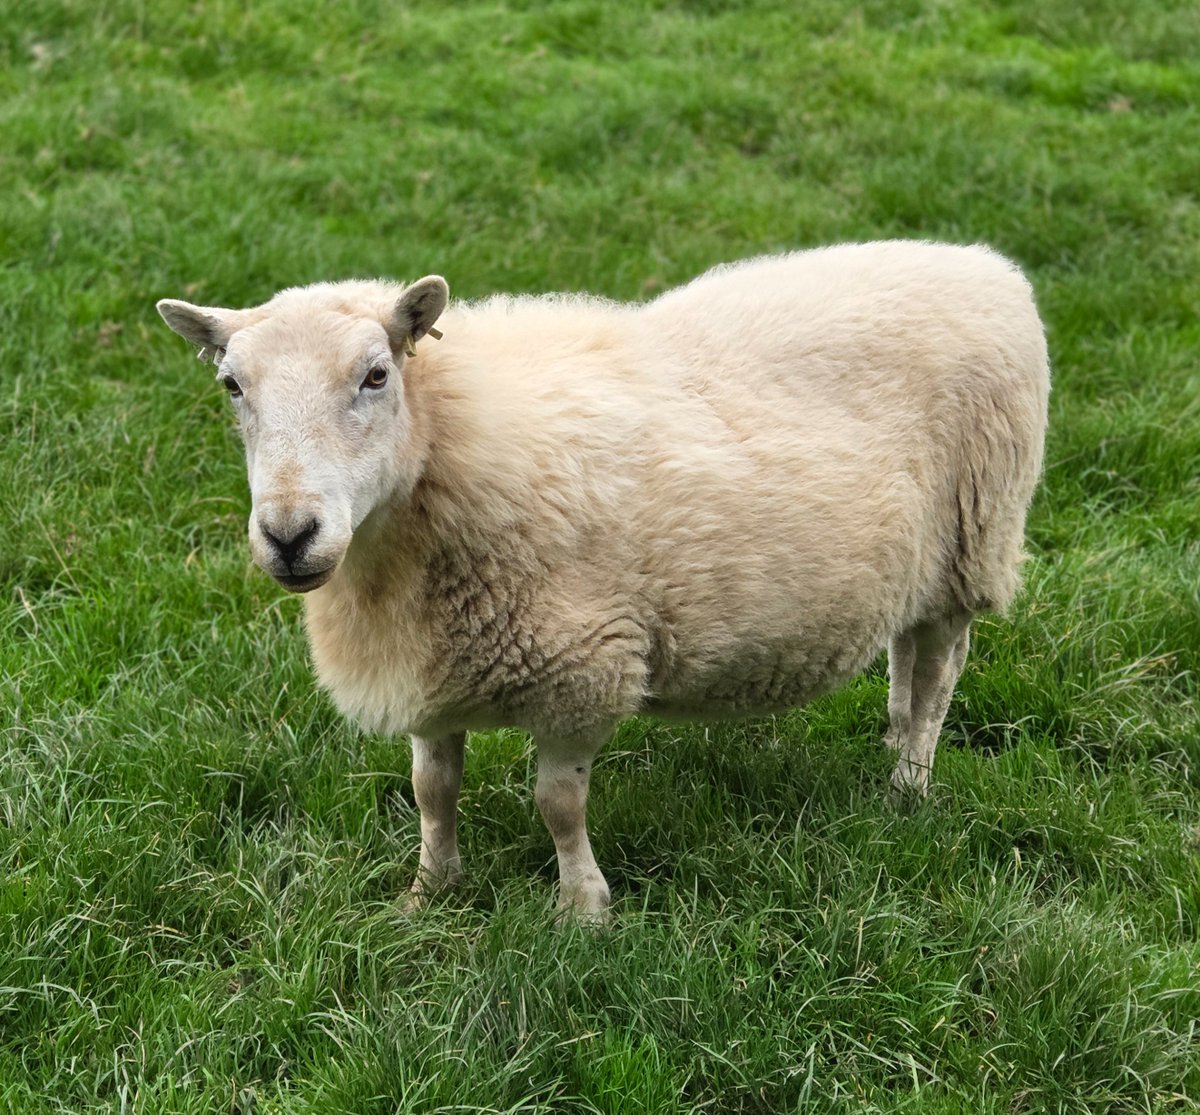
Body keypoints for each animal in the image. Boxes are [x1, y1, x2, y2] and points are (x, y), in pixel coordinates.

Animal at [156, 240, 1050, 922]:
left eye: (377, 375)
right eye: (232, 385)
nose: (289, 535)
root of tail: (985, 266)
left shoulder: (582, 666)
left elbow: (559, 804)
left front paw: (582, 909)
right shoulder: (430, 664)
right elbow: (431, 788)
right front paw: (430, 890)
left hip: (972, 539)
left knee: (938, 674)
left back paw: (909, 783)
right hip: (915, 562)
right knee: (906, 656)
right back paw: (895, 742)